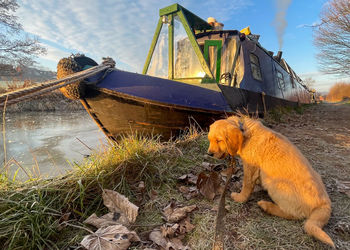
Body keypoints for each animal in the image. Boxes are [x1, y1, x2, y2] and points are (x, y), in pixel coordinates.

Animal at [206, 115, 334, 248]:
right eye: (210, 140)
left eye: (219, 140)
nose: (209, 153)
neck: (245, 131)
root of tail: (325, 204)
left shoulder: (250, 167)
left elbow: (247, 185)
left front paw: (240, 198)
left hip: (275, 185)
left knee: (293, 214)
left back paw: (266, 206)